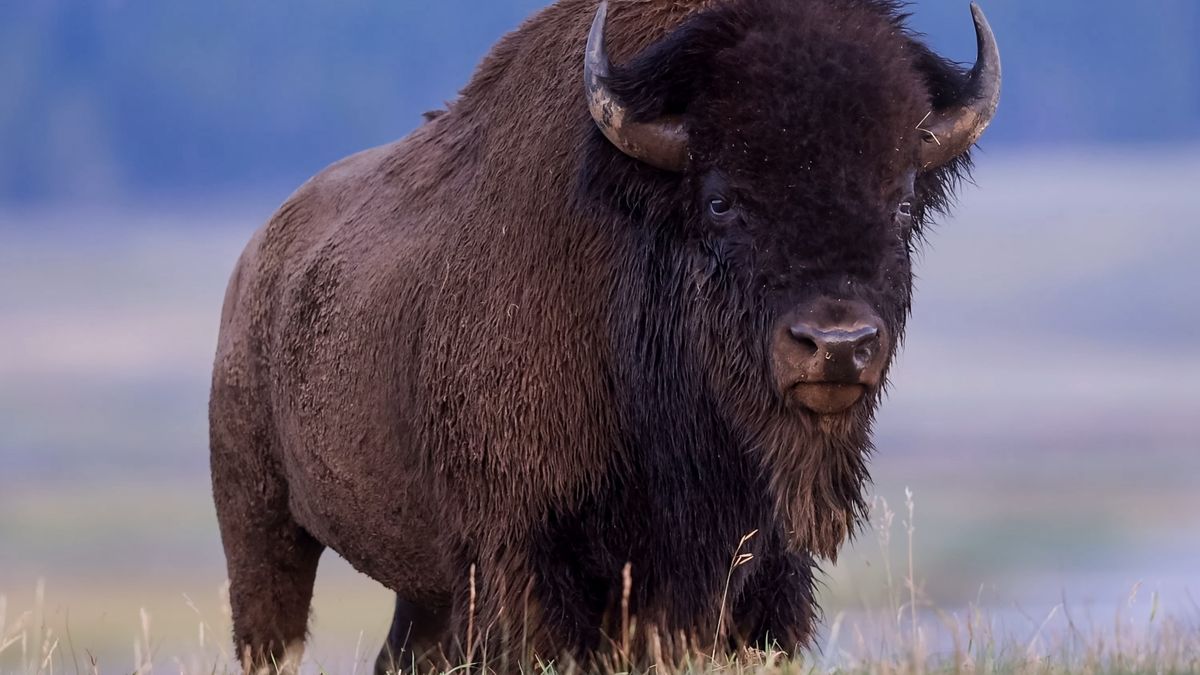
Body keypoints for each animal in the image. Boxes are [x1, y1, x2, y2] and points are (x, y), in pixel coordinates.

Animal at [211, 0, 998, 667]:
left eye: (902, 203)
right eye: (720, 200)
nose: (836, 345)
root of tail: (254, 262)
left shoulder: (759, 575)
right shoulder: (529, 565)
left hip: (421, 589)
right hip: (260, 527)